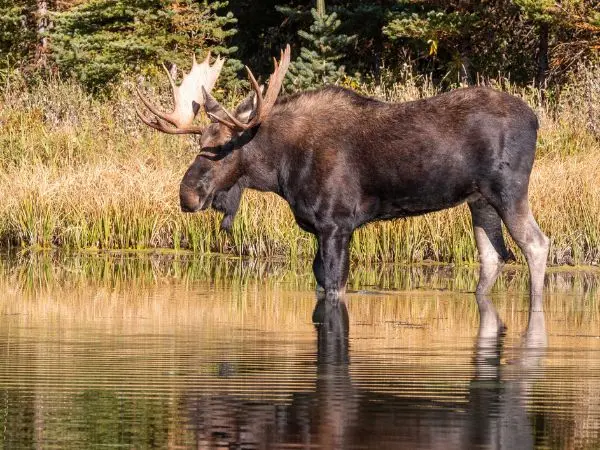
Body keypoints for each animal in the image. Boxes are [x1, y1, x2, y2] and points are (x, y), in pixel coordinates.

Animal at [138, 46, 552, 312]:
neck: (281, 171)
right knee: (494, 256)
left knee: (536, 244)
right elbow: (321, 283)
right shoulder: (319, 229)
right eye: (200, 144)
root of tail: (535, 119)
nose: (188, 195)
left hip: (508, 190)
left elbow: (336, 286)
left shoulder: (337, 224)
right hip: (479, 200)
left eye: (224, 147)